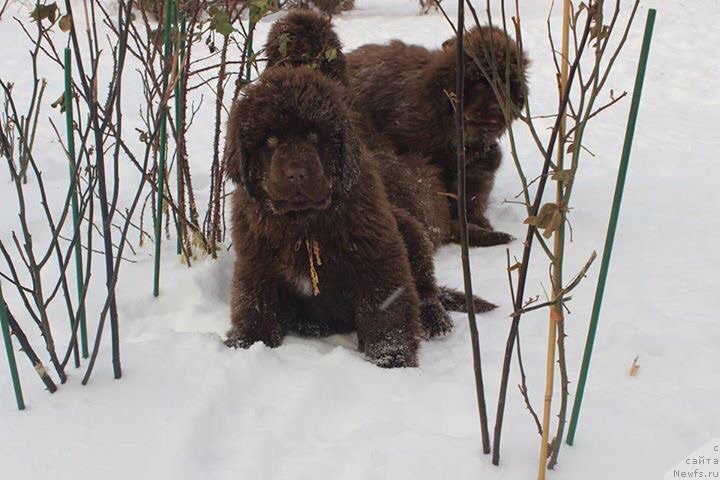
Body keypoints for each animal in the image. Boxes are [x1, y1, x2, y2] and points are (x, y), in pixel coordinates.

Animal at [346, 26, 524, 248]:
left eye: (505, 82)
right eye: (479, 81)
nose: (497, 108)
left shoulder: (473, 164)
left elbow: (473, 192)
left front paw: (479, 222)